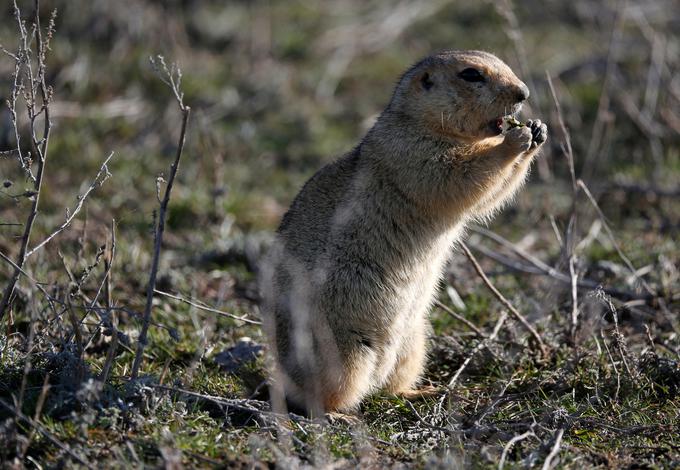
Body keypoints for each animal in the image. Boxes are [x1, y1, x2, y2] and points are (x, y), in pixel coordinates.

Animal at [258, 49, 548, 414]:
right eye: (471, 75)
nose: (524, 93)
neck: (421, 122)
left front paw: (537, 129)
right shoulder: (412, 152)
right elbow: (457, 174)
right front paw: (515, 139)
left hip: (414, 342)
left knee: (389, 387)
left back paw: (421, 392)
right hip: (339, 351)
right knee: (321, 397)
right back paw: (339, 415)